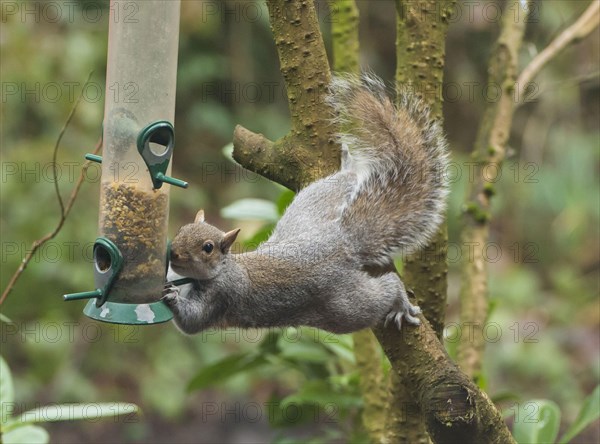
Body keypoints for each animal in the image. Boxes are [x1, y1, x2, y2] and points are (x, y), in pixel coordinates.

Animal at [162, 74, 448, 334]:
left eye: (207, 247)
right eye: (181, 230)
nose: (173, 253)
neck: (222, 269)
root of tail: (341, 239)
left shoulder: (222, 295)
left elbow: (192, 322)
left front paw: (172, 299)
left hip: (346, 307)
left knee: (383, 291)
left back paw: (400, 302)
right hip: (308, 208)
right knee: (343, 182)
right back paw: (349, 167)